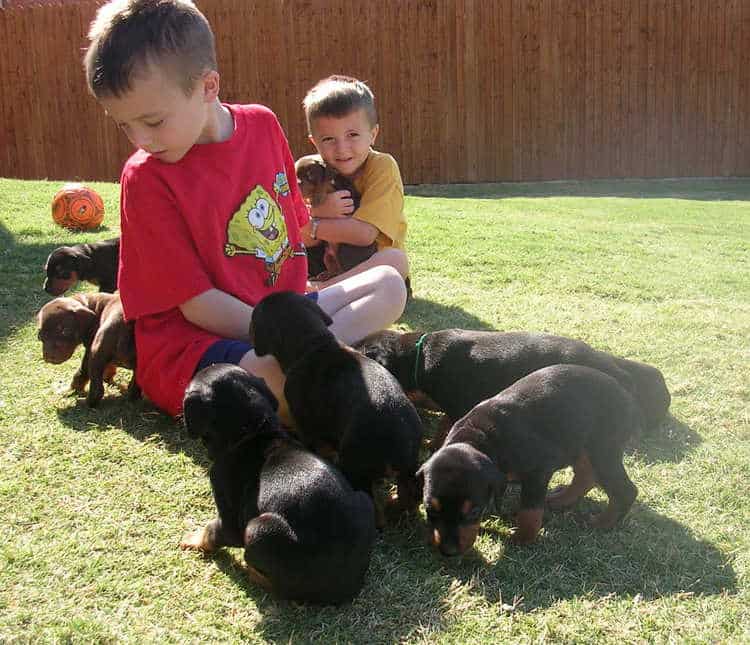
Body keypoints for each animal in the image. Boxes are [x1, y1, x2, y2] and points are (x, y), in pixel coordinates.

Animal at [180, 364, 378, 608]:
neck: (254, 431)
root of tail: (345, 588)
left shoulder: (230, 519)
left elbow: (212, 531)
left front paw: (193, 540)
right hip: (363, 499)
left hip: (257, 529)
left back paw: (252, 571)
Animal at [420, 362, 644, 552]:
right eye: (430, 510)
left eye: (474, 511)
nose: (448, 552)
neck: (479, 437)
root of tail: (629, 398)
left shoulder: (537, 473)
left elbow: (530, 511)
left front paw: (521, 539)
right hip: (580, 444)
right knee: (585, 475)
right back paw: (562, 500)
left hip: (604, 449)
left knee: (625, 490)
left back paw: (601, 523)